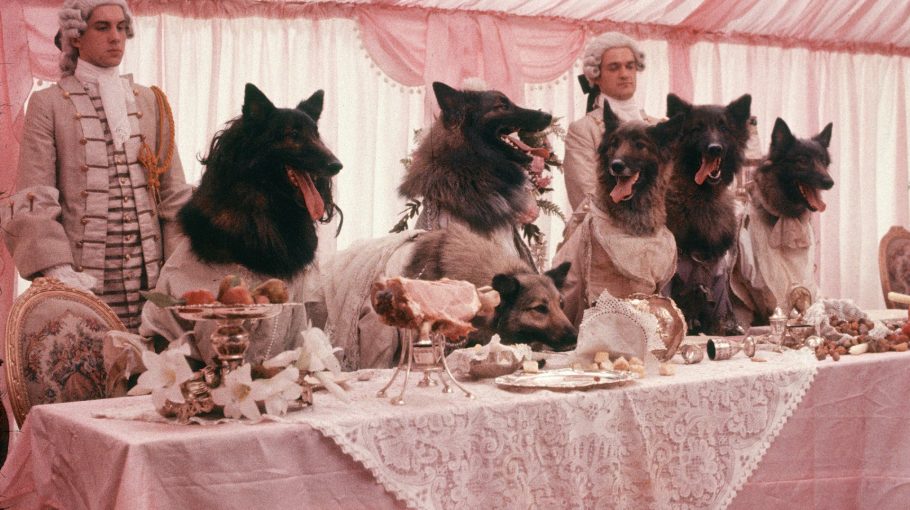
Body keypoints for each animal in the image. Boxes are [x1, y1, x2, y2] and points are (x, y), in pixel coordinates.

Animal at [663, 93, 752, 335]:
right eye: (697, 128)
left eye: (723, 128)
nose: (715, 148)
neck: (701, 200)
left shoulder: (718, 278)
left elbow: (720, 312)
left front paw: (726, 328)